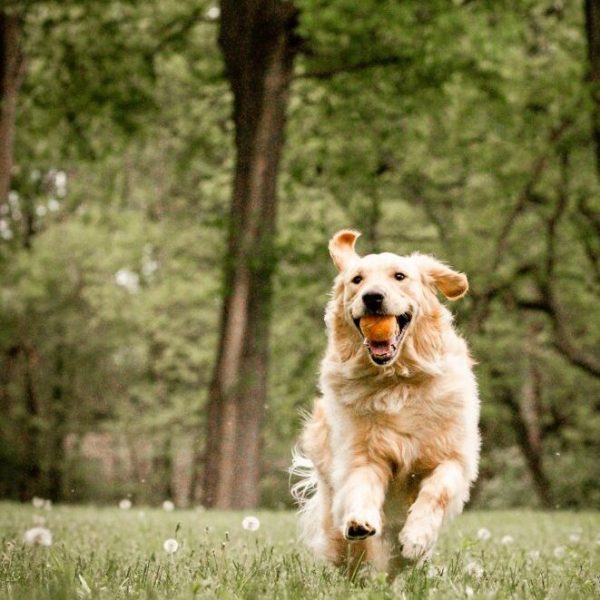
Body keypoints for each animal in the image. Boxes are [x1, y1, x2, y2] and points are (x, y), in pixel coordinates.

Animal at [288, 229, 480, 572]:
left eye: (399, 276)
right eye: (357, 279)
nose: (372, 297)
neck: (396, 380)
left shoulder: (455, 457)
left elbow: (437, 490)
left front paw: (417, 537)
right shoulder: (362, 453)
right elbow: (361, 486)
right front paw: (359, 521)